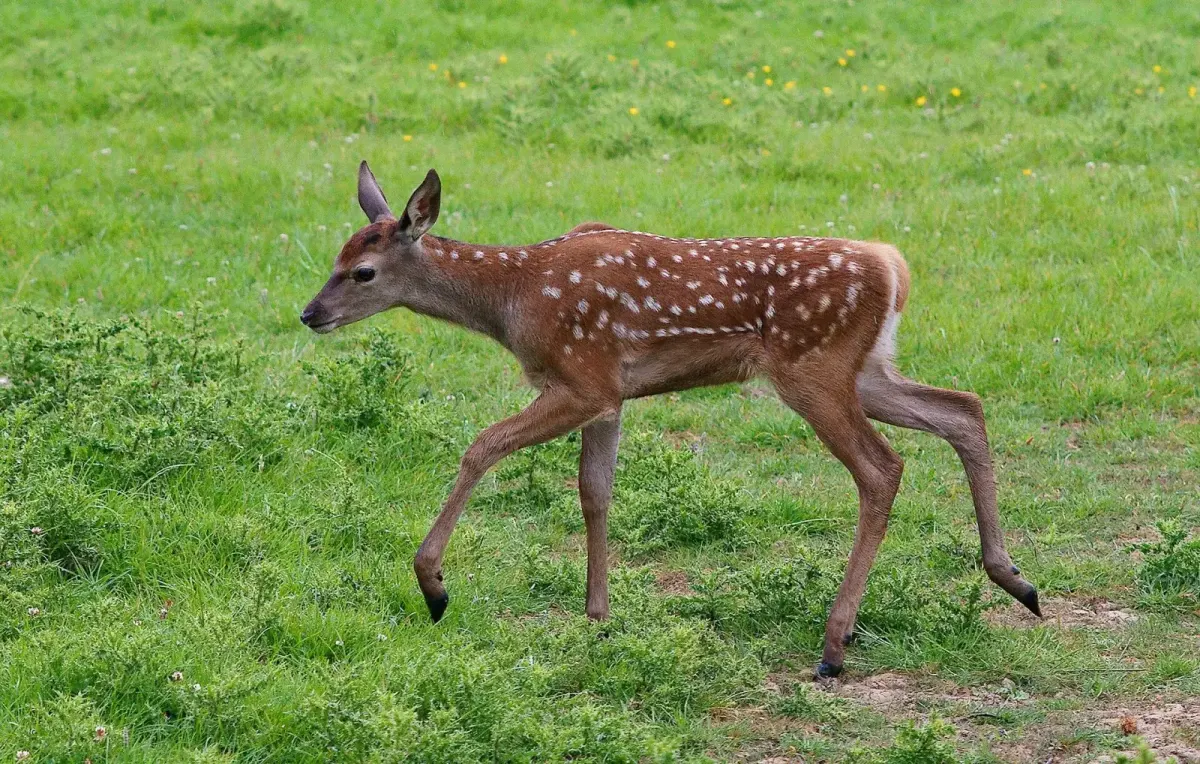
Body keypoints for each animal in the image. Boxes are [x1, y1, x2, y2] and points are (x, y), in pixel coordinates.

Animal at [300, 162, 1041, 678]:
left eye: (363, 272)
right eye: (336, 259)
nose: (309, 313)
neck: (513, 301)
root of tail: (894, 266)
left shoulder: (583, 379)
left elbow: (482, 446)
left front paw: (433, 585)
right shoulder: (609, 395)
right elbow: (594, 492)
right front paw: (597, 617)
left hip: (813, 368)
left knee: (882, 466)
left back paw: (836, 643)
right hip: (866, 370)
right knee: (963, 409)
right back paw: (1017, 581)